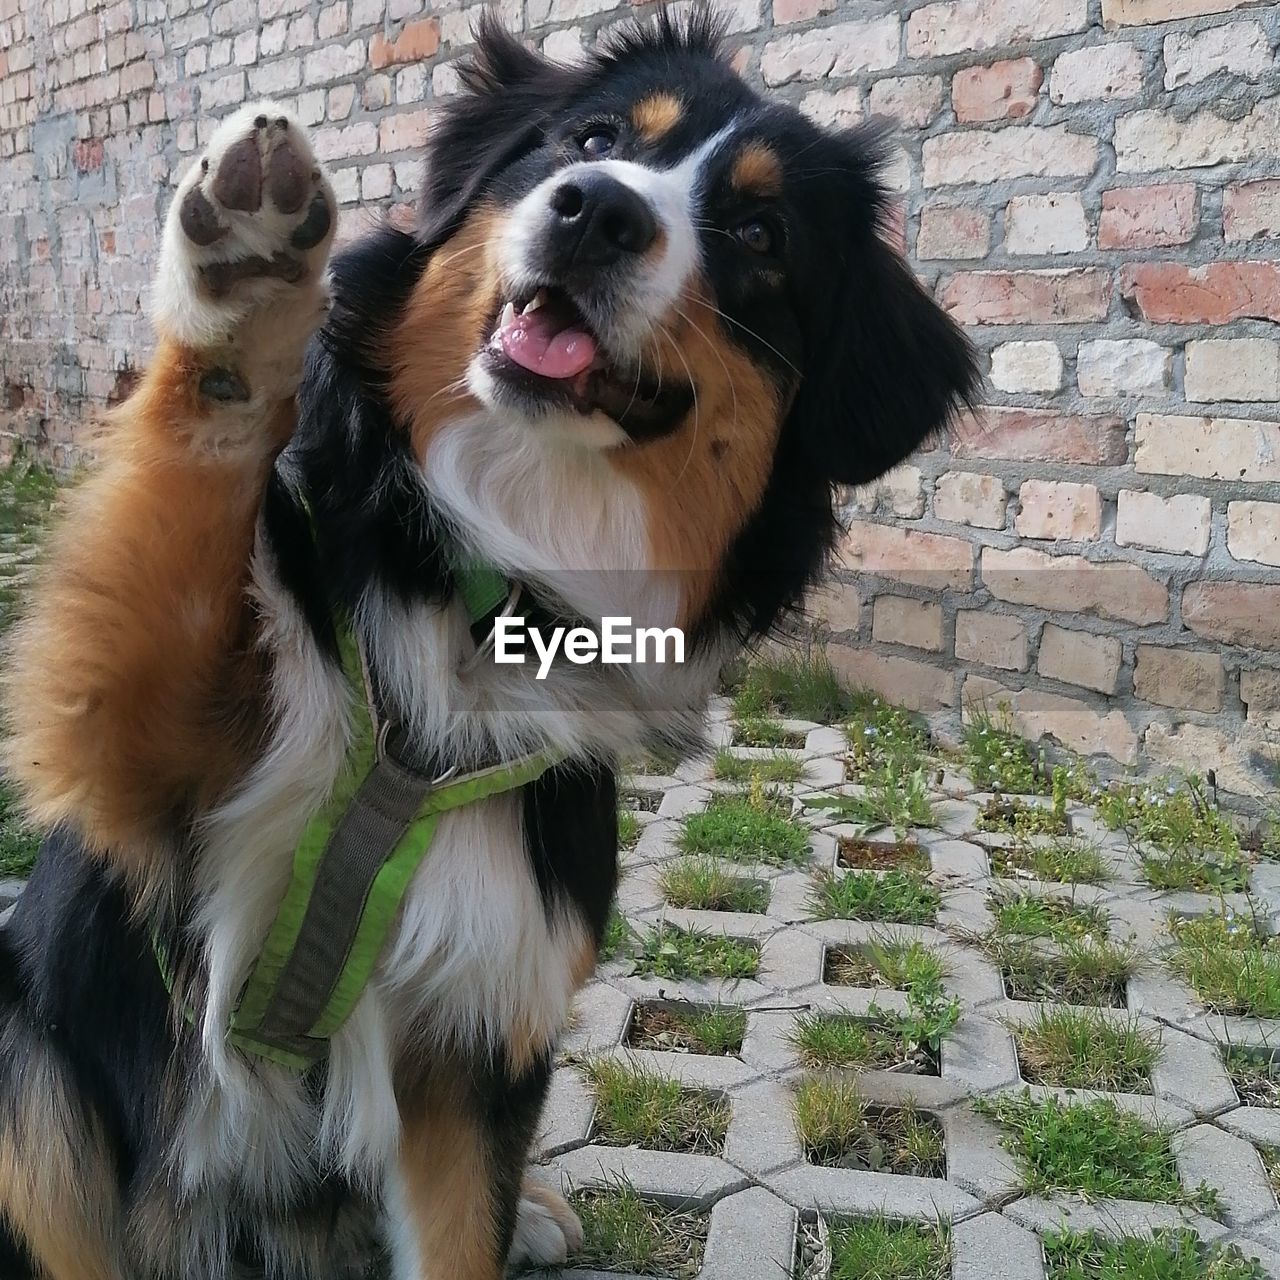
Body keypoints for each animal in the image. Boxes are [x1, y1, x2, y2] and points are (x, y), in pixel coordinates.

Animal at [0, 12, 972, 1280]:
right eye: (594, 138)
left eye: (759, 235)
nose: (595, 211)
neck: (484, 572)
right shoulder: (138, 762)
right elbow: (181, 513)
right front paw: (247, 281)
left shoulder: (479, 1020)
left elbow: (462, 1222)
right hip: (30, 1069)